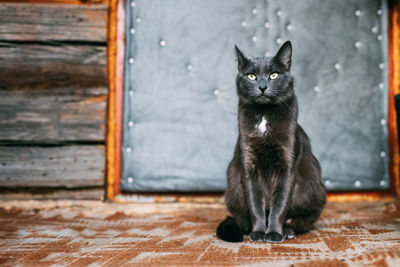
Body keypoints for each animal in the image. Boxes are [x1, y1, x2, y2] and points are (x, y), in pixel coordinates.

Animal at [217, 40, 326, 244]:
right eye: (251, 76)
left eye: (273, 75)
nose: (262, 86)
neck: (264, 115)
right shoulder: (249, 166)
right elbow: (256, 206)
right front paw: (259, 232)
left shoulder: (287, 167)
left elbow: (279, 205)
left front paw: (274, 233)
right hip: (233, 193)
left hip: (315, 194)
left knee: (300, 221)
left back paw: (287, 231)